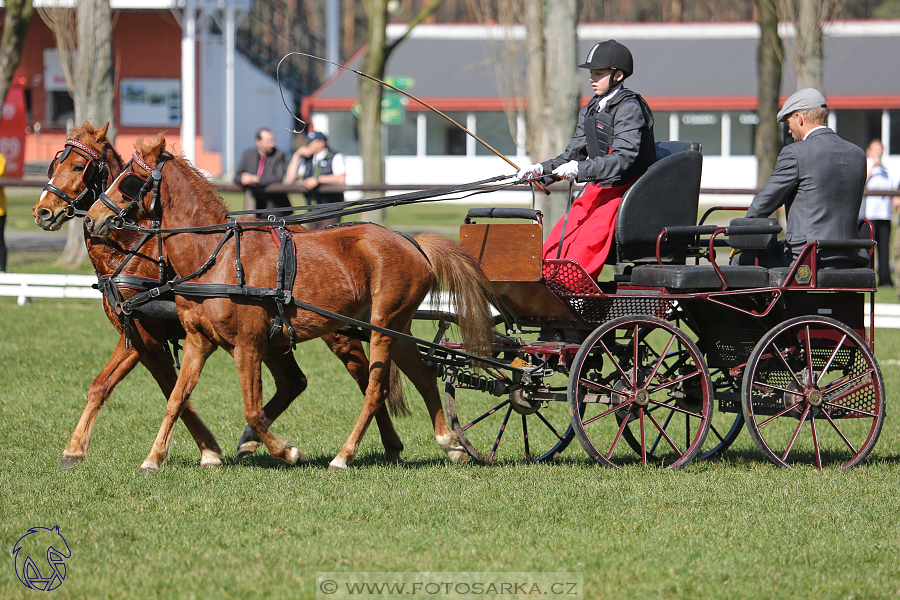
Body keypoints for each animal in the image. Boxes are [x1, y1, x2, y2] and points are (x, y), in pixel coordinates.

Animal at [31, 122, 402, 468]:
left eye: (80, 166)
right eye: (55, 163)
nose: (43, 212)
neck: (132, 248)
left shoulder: (148, 337)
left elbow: (157, 389)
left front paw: (207, 449)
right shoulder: (142, 336)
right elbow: (128, 388)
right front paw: (77, 449)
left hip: (335, 333)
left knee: (366, 379)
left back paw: (384, 445)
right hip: (277, 338)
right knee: (294, 383)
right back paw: (252, 440)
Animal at [85, 134, 496, 472]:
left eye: (129, 179)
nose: (91, 218)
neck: (216, 256)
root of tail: (412, 242)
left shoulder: (248, 344)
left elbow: (252, 409)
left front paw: (287, 451)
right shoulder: (198, 341)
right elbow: (176, 398)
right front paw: (153, 459)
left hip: (384, 324)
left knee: (374, 388)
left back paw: (344, 456)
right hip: (397, 328)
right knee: (424, 376)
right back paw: (450, 444)